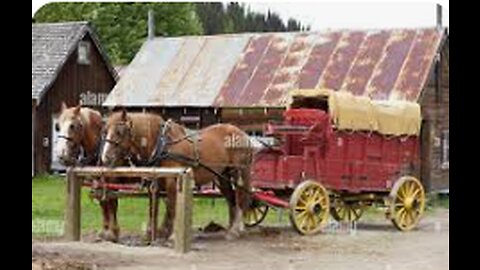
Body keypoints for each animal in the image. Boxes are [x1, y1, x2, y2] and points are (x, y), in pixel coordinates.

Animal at [54, 102, 121, 242]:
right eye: (58, 126)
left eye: (72, 126)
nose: (61, 154)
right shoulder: (98, 182)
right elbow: (103, 202)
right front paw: (105, 229)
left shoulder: (113, 182)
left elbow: (112, 203)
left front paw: (114, 232)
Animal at [100, 110, 253, 240]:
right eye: (105, 131)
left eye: (119, 132)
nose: (105, 157)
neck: (161, 143)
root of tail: (242, 134)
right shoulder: (154, 181)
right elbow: (154, 207)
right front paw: (152, 233)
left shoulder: (172, 180)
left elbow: (172, 207)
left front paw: (172, 234)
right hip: (222, 177)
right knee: (231, 199)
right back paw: (230, 228)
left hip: (238, 172)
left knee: (240, 197)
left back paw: (236, 230)